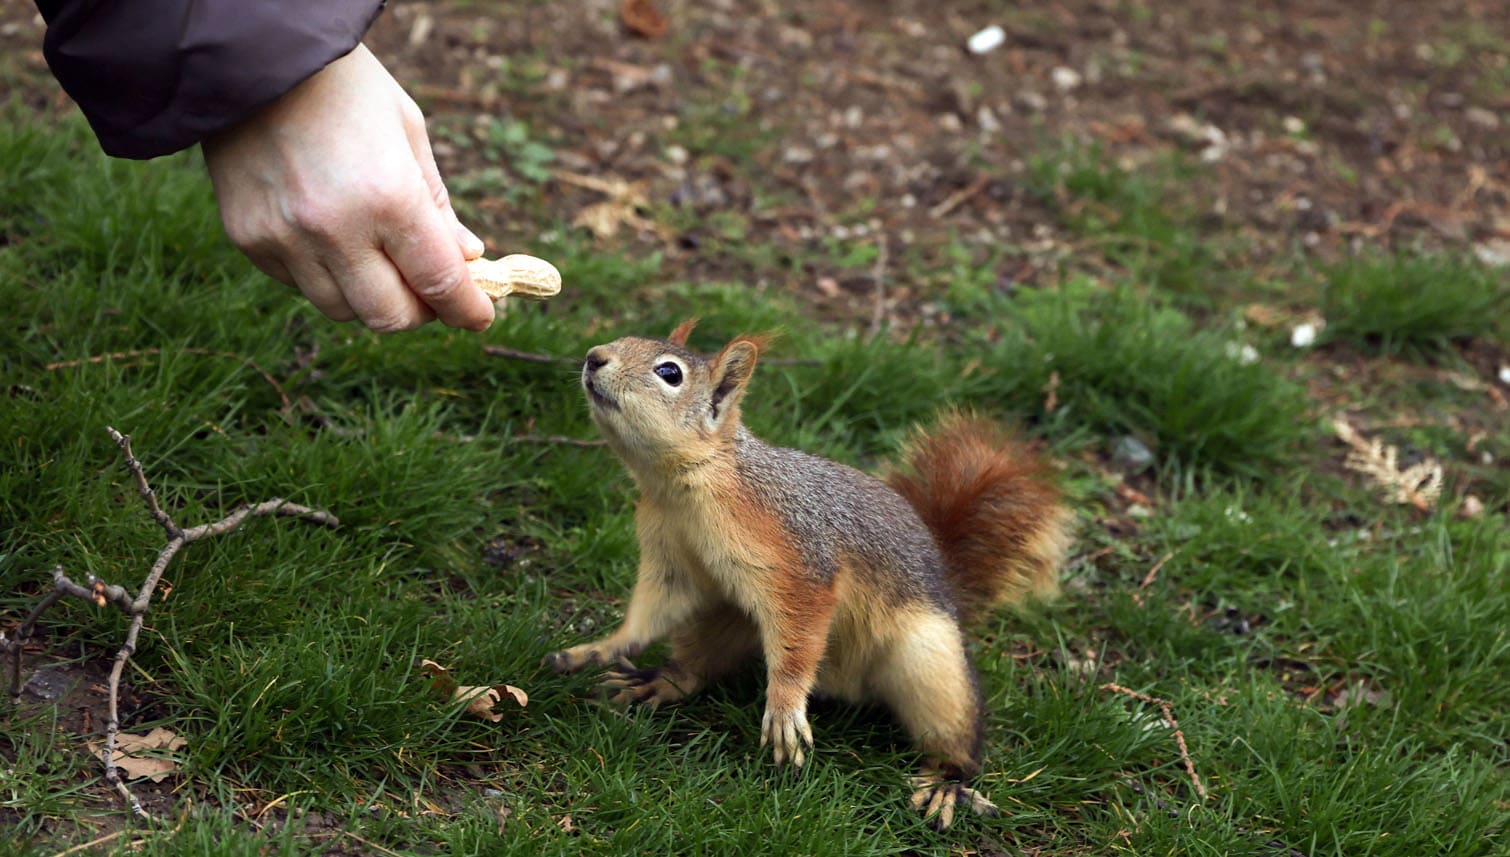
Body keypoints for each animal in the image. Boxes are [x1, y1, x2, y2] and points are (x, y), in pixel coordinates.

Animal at [544, 319, 1073, 829]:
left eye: (669, 373)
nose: (594, 357)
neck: (687, 486)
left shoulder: (800, 560)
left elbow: (800, 637)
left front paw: (783, 709)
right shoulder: (671, 560)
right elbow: (652, 611)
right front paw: (601, 647)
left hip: (931, 667)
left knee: (957, 734)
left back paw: (947, 782)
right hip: (721, 620)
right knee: (697, 667)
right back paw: (659, 681)